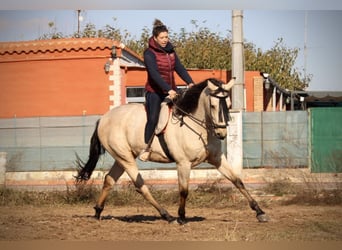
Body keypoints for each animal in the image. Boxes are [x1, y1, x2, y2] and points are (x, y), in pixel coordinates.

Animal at [76, 77, 268, 224]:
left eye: (228, 103)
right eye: (213, 106)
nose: (221, 133)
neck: (198, 127)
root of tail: (103, 118)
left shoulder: (217, 159)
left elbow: (237, 181)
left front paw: (259, 212)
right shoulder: (183, 163)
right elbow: (183, 190)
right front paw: (181, 217)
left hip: (121, 157)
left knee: (109, 180)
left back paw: (98, 212)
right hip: (126, 159)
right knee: (140, 185)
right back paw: (166, 215)